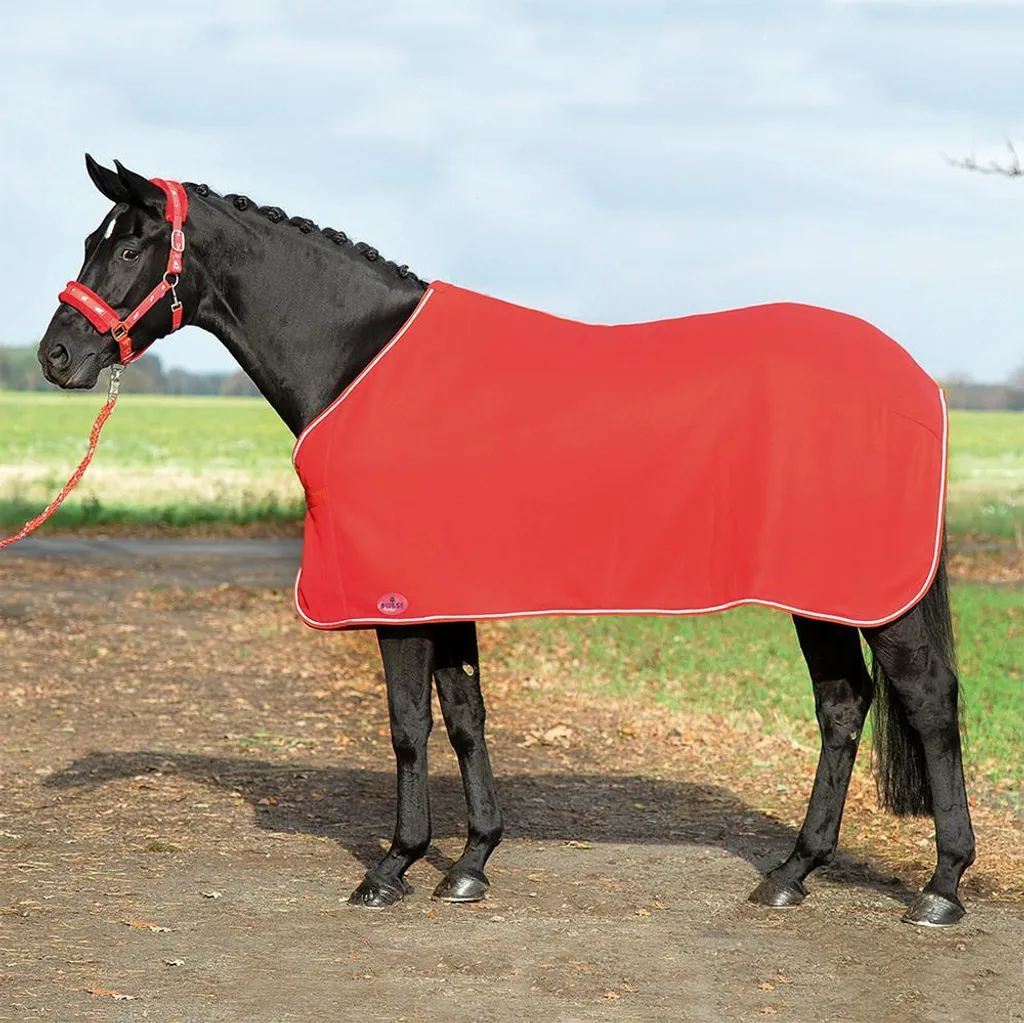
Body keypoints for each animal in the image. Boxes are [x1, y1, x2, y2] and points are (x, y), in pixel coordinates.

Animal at [34, 156, 975, 927]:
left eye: (130, 249)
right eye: (90, 240)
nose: (56, 356)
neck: (357, 355)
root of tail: (918, 378)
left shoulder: (396, 598)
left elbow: (408, 726)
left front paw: (392, 867)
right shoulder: (443, 594)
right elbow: (464, 716)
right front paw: (471, 862)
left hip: (865, 595)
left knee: (927, 702)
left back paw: (941, 886)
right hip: (823, 595)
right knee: (844, 706)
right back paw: (792, 872)